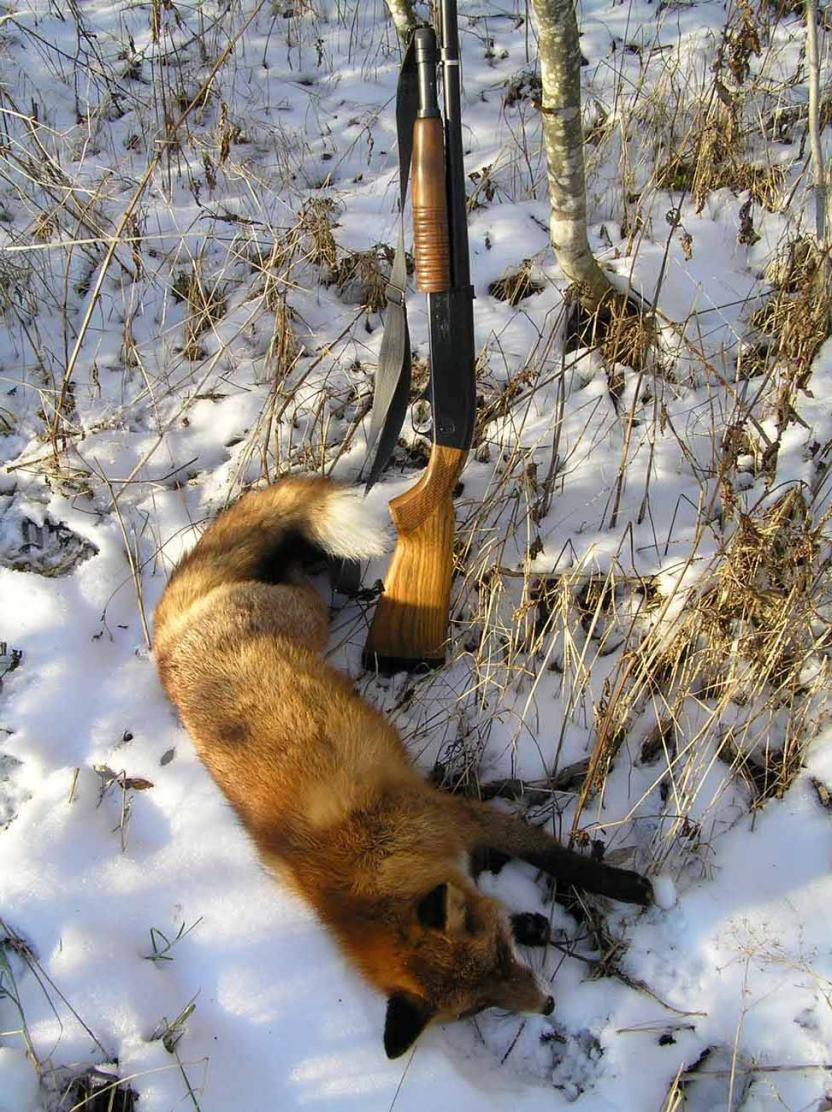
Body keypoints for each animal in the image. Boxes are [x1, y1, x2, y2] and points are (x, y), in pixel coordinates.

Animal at [153, 476, 653, 1059]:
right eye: (482, 1004)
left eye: (500, 960)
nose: (549, 1006)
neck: (373, 857)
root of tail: (168, 638)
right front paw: (532, 921)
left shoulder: (458, 814)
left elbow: (557, 858)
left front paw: (623, 885)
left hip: (308, 615)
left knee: (300, 579)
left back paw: (310, 561)